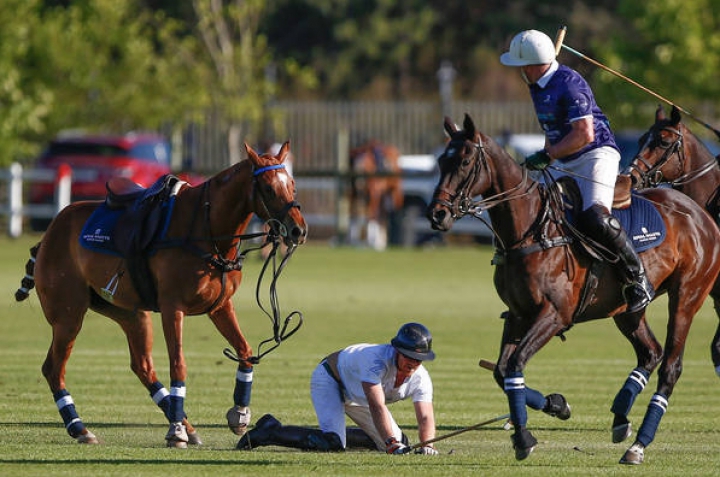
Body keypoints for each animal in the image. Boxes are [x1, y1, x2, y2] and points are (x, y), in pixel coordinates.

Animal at [14, 141, 306, 446]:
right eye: (269, 188)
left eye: (293, 186)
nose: (299, 230)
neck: (206, 228)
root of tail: (48, 233)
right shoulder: (172, 307)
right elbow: (179, 364)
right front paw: (175, 431)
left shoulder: (220, 306)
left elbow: (246, 351)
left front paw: (240, 414)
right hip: (68, 314)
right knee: (53, 367)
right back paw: (80, 428)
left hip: (130, 314)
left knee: (142, 366)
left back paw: (187, 426)